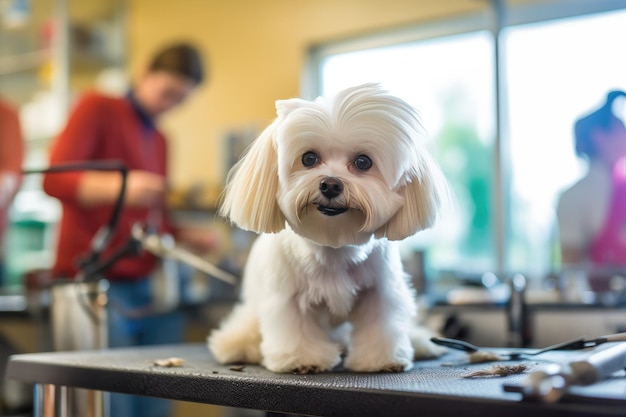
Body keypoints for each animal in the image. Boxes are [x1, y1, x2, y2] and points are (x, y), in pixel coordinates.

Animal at [207, 83, 446, 372]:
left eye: (363, 162)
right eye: (309, 158)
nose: (330, 184)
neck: (333, 244)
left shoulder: (380, 292)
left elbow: (380, 325)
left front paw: (381, 359)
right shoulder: (287, 297)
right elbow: (296, 328)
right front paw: (302, 359)